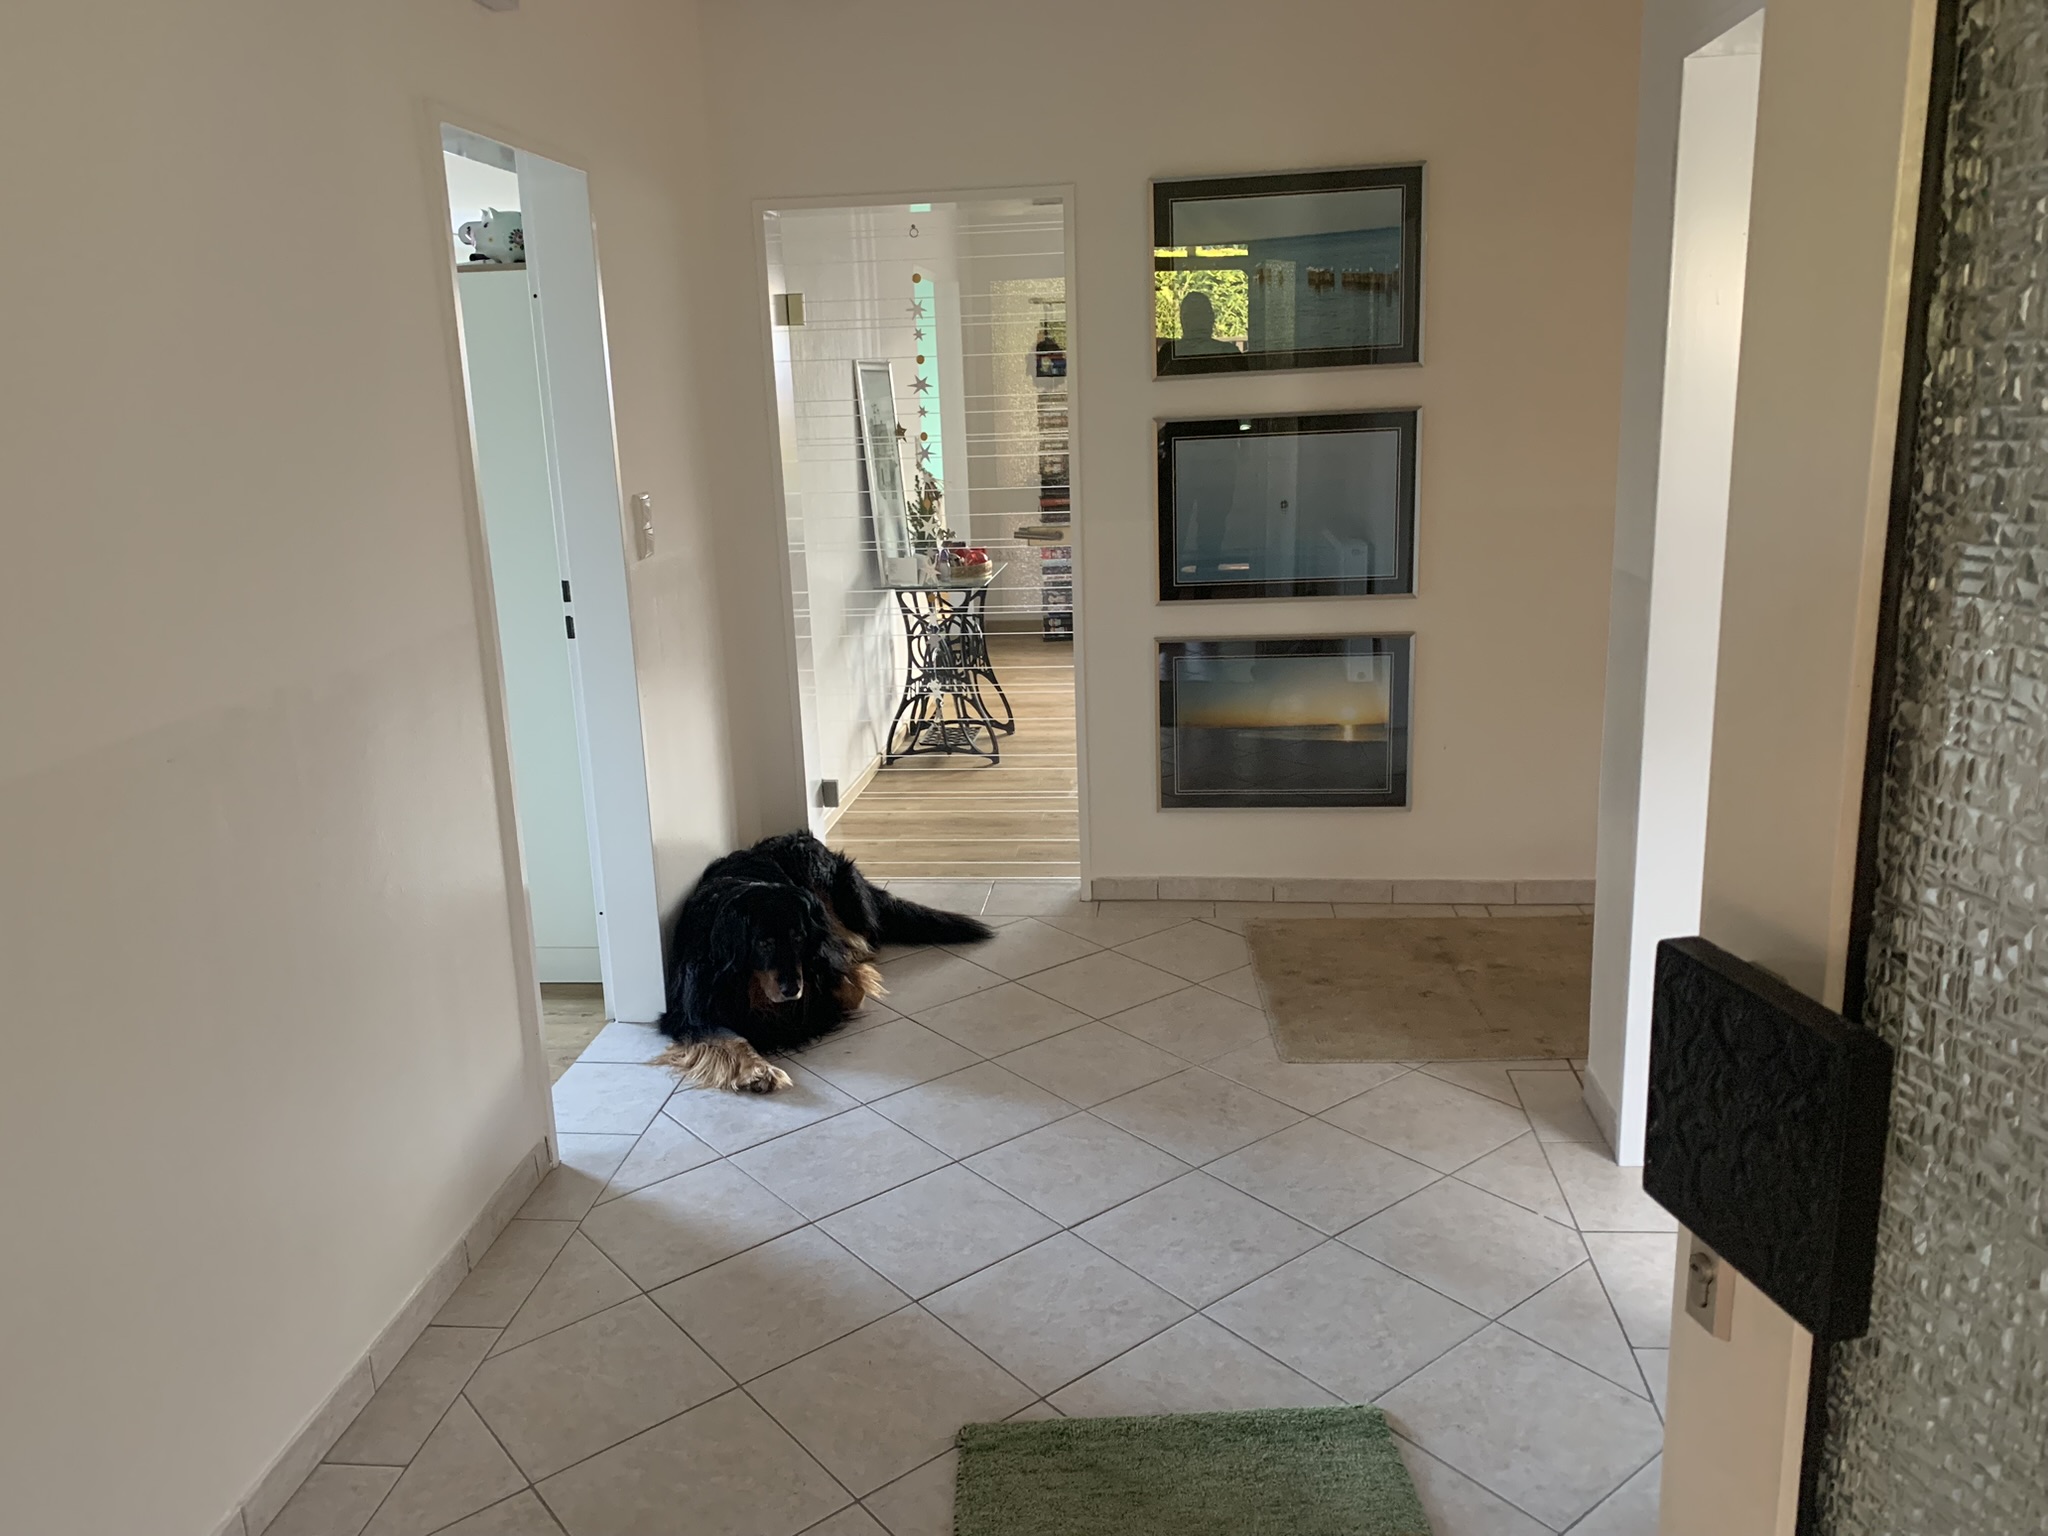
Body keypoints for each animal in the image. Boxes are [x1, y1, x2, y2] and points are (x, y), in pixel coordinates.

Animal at [655, 831, 993, 1092]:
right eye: (763, 943)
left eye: (799, 937)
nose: (792, 988)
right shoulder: (690, 1009)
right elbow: (728, 1035)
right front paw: (756, 1069)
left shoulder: (823, 960)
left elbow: (848, 988)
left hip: (824, 883)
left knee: (862, 936)